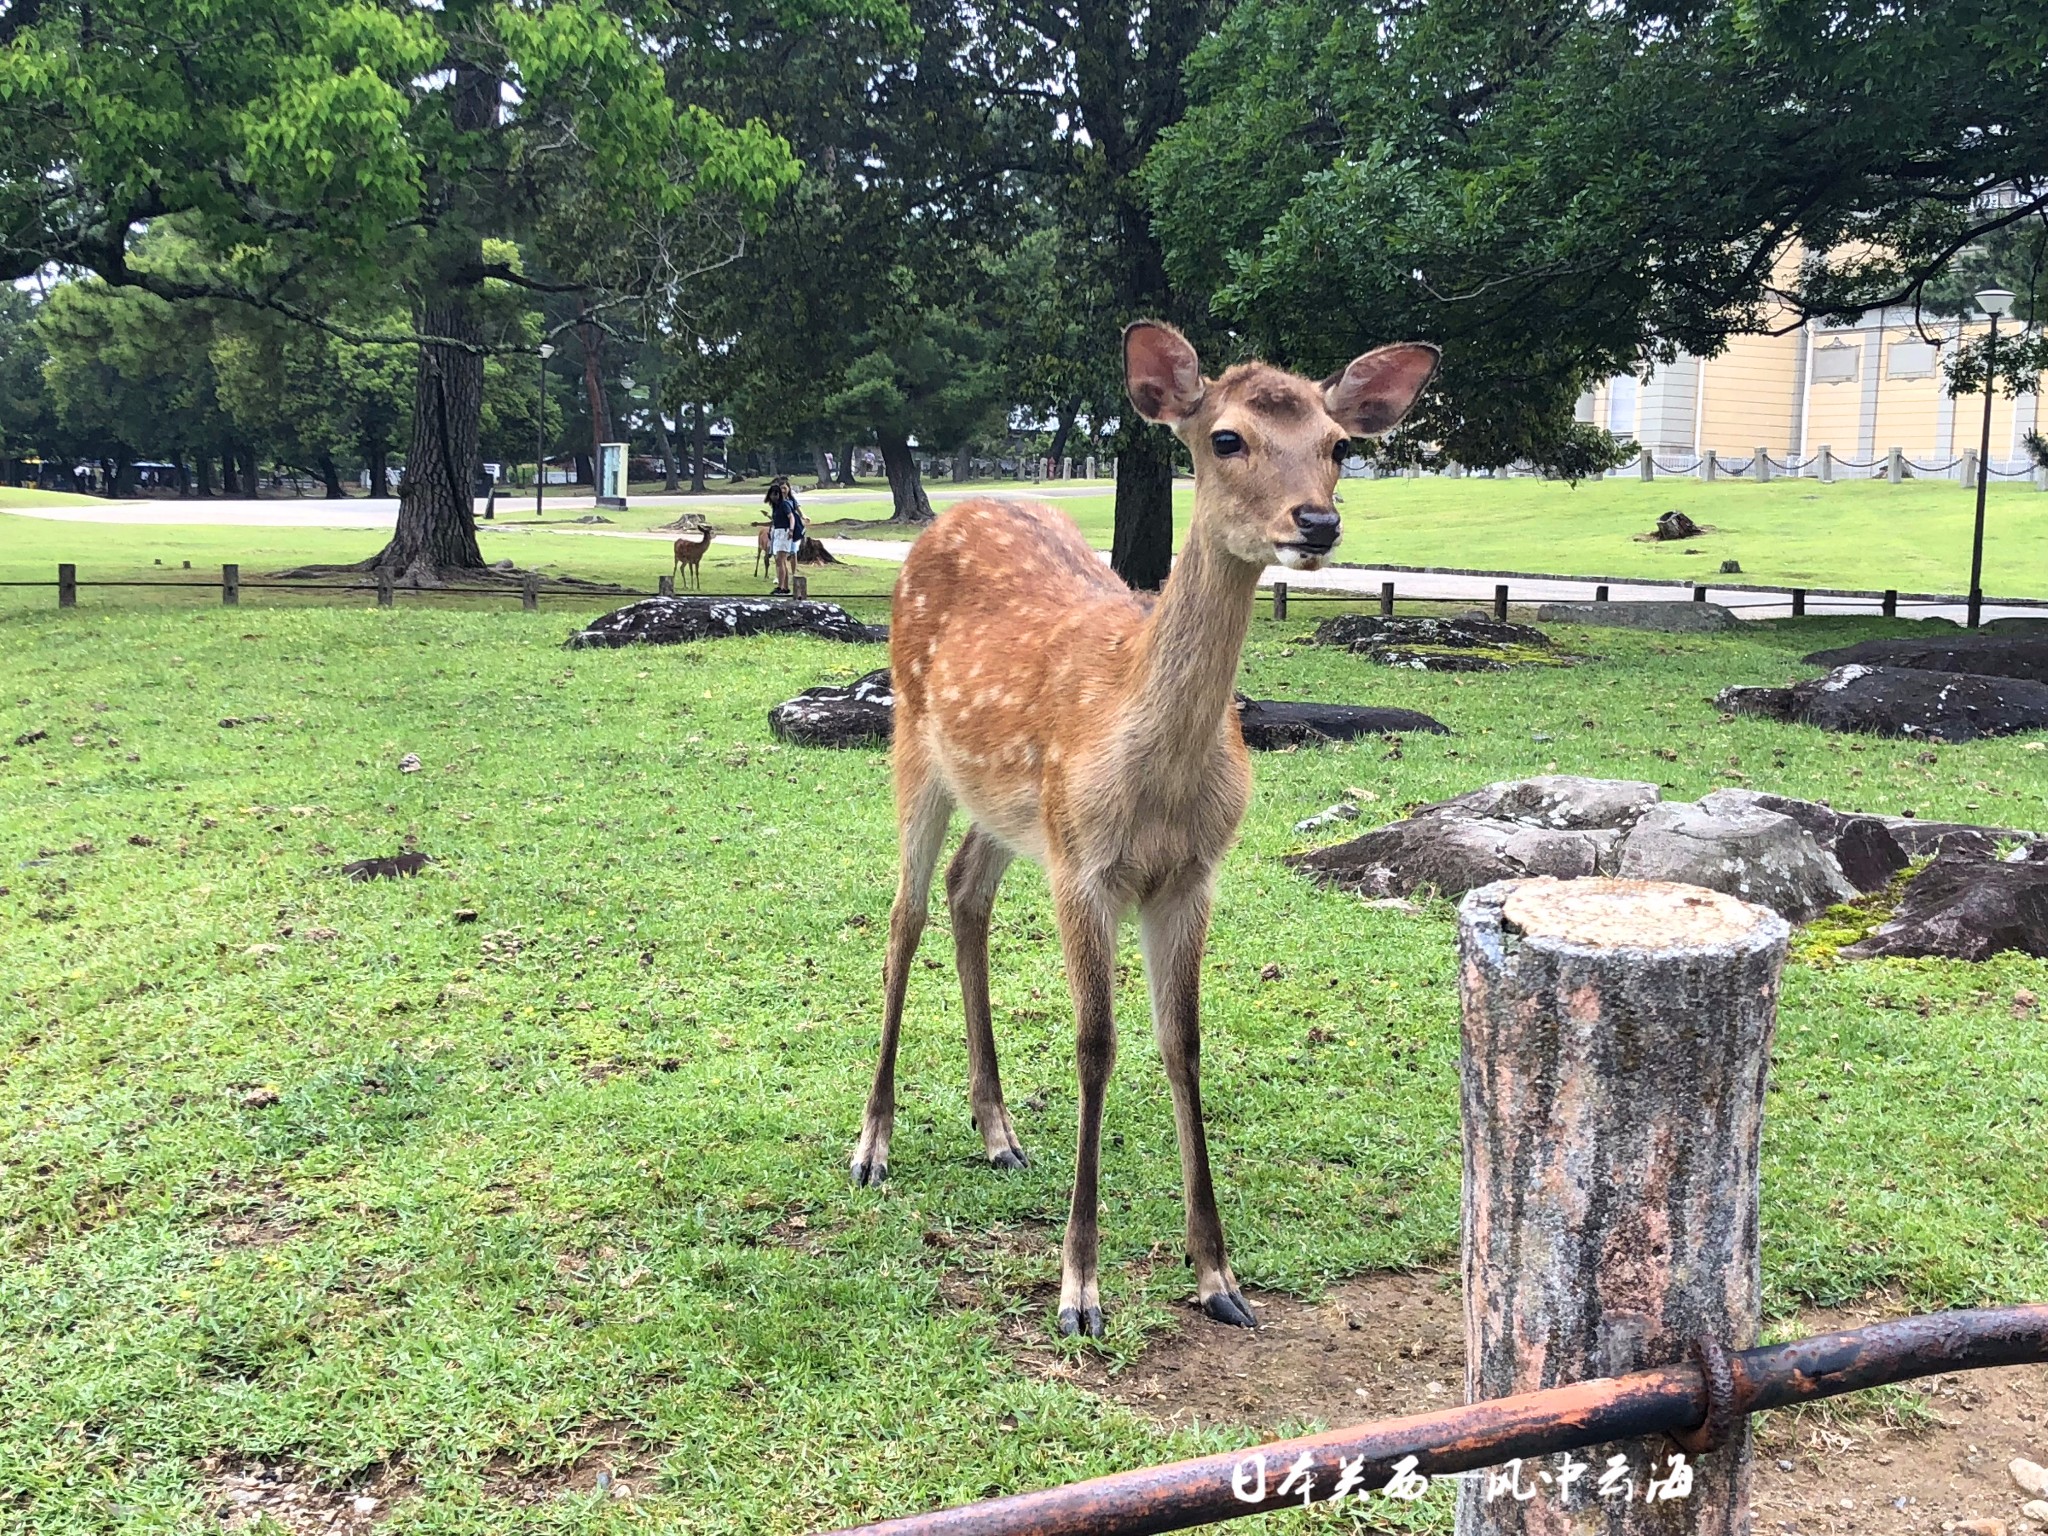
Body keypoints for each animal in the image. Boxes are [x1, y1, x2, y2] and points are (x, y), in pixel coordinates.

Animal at [847, 321, 1441, 1335]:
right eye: (1226, 438)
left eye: (1338, 446)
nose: (1317, 524)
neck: (1154, 777)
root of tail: (948, 519)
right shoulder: (1084, 868)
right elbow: (1097, 1047)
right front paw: (1079, 1289)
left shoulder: (1191, 875)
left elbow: (1183, 1042)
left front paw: (1219, 1277)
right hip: (915, 745)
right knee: (904, 915)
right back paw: (873, 1146)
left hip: (1014, 808)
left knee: (967, 894)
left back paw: (998, 1132)